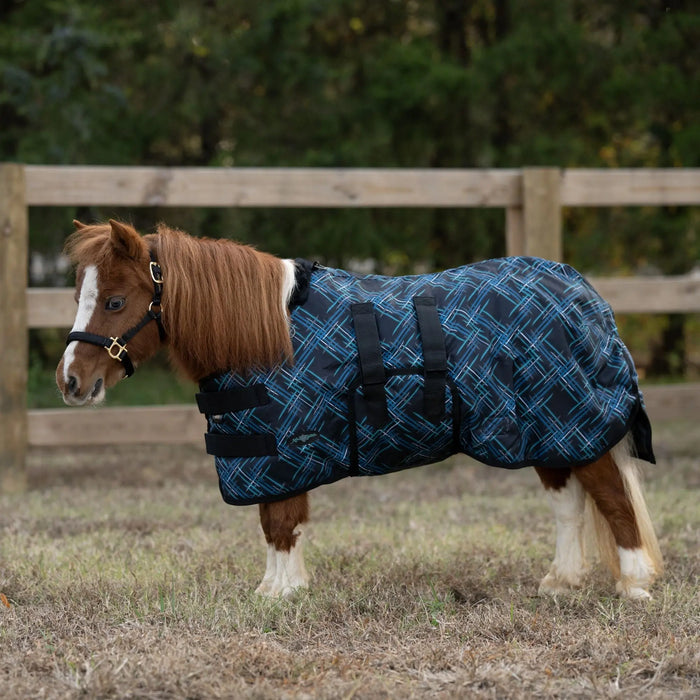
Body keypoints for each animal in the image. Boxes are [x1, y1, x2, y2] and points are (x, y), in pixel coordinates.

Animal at [56, 219, 663, 600]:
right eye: (80, 296)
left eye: (115, 301)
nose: (70, 381)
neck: (266, 333)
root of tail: (585, 295)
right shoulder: (267, 454)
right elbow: (274, 523)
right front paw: (281, 587)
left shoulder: (285, 450)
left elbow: (281, 522)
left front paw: (280, 592)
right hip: (543, 433)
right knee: (569, 506)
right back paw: (561, 581)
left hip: (573, 423)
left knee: (612, 498)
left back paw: (634, 583)